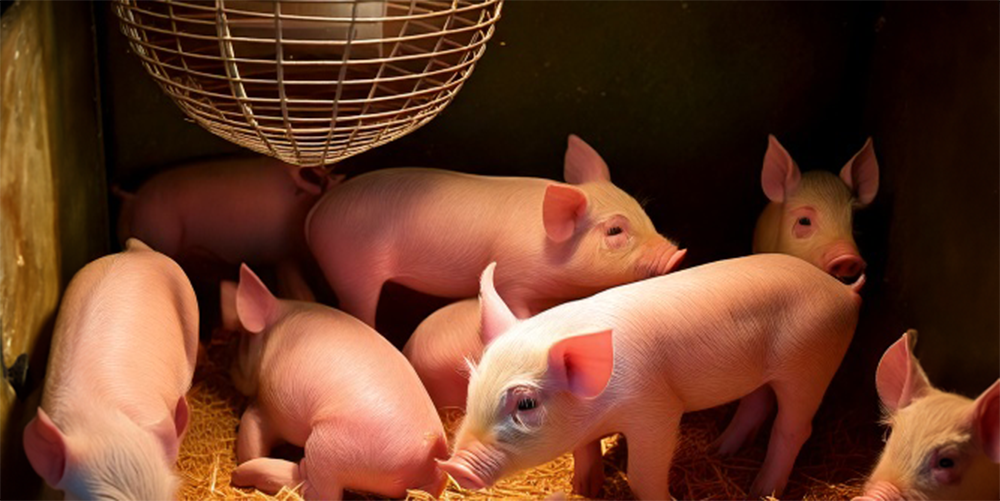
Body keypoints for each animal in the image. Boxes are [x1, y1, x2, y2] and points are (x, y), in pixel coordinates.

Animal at [225, 264, 448, 500]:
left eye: (243, 339)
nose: (231, 369)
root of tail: (431, 458)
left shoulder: (270, 405)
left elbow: (250, 437)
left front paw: (241, 464)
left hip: (330, 448)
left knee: (316, 488)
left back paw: (244, 473)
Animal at [306, 134, 686, 327]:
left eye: (643, 212)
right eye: (615, 230)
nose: (677, 254)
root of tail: (316, 214)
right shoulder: (514, 278)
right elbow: (517, 306)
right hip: (353, 269)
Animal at [439, 257, 862, 500]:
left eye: (526, 403)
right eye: (472, 388)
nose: (454, 466)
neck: (602, 407)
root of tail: (844, 291)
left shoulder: (656, 410)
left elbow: (640, 474)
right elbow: (584, 449)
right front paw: (582, 489)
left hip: (809, 365)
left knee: (793, 427)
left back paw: (761, 491)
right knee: (756, 402)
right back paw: (720, 451)